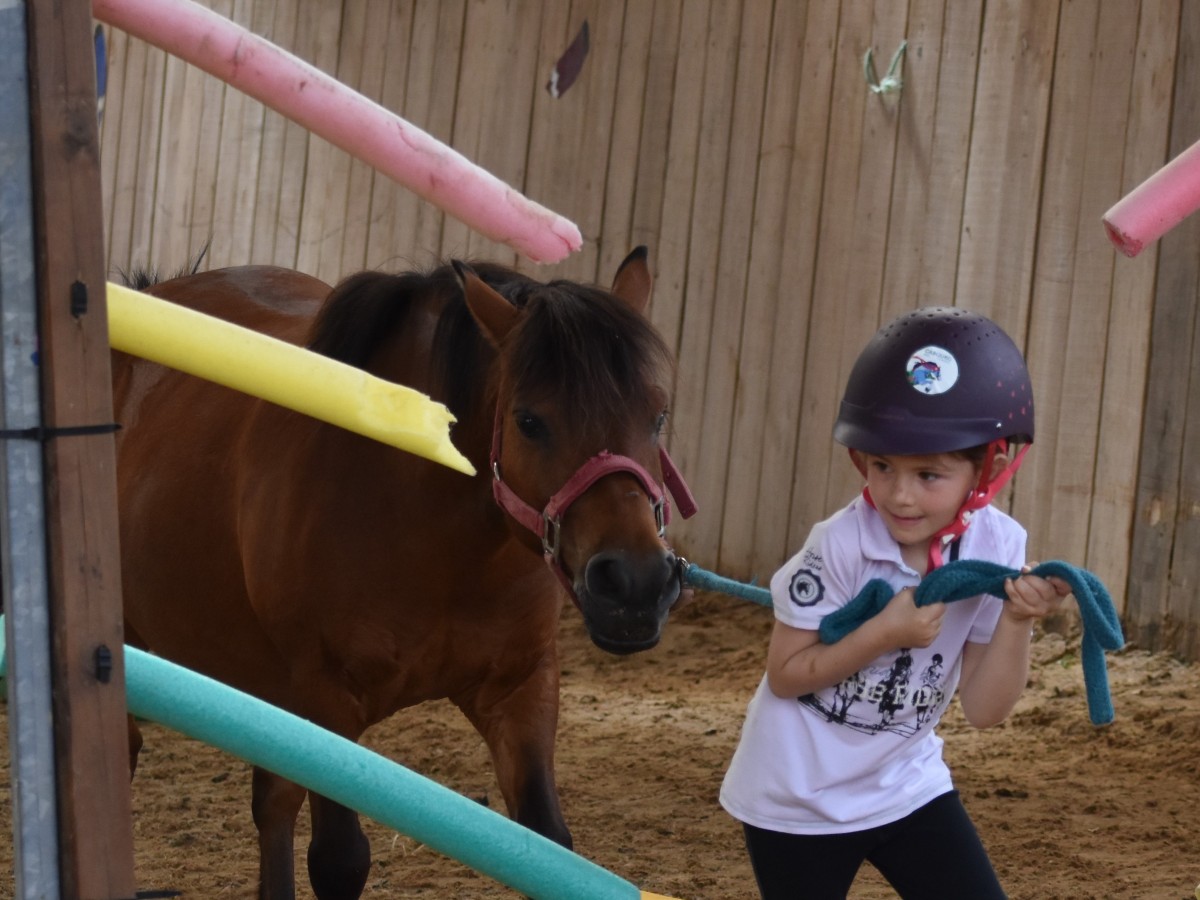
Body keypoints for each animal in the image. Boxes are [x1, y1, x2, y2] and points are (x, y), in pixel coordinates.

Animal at [114, 250, 696, 900]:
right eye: (528, 421)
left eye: (657, 415)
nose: (636, 583)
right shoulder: (327, 698)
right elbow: (339, 861)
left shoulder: (522, 688)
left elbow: (550, 848)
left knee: (272, 801)